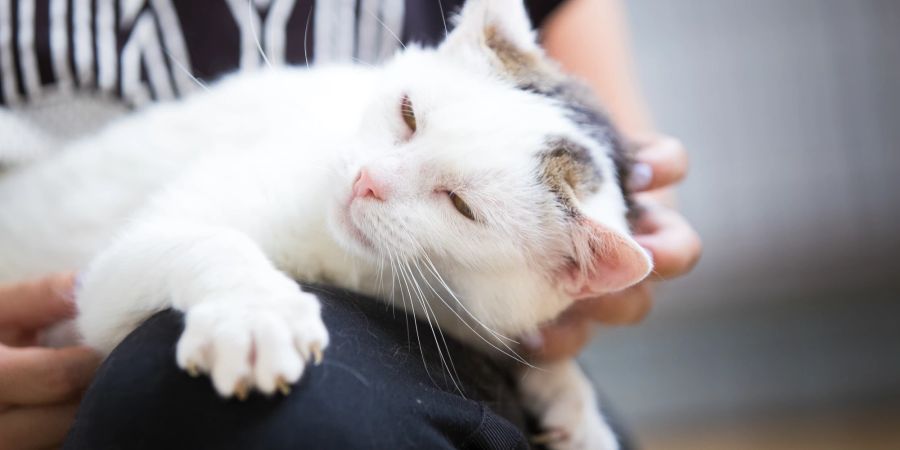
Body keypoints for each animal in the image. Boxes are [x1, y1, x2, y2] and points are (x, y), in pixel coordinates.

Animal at [0, 1, 648, 448]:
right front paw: (255, 314)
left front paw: (575, 408)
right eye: (408, 114)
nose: (367, 181)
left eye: (461, 205)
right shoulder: (108, 278)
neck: (352, 265)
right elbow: (211, 241)